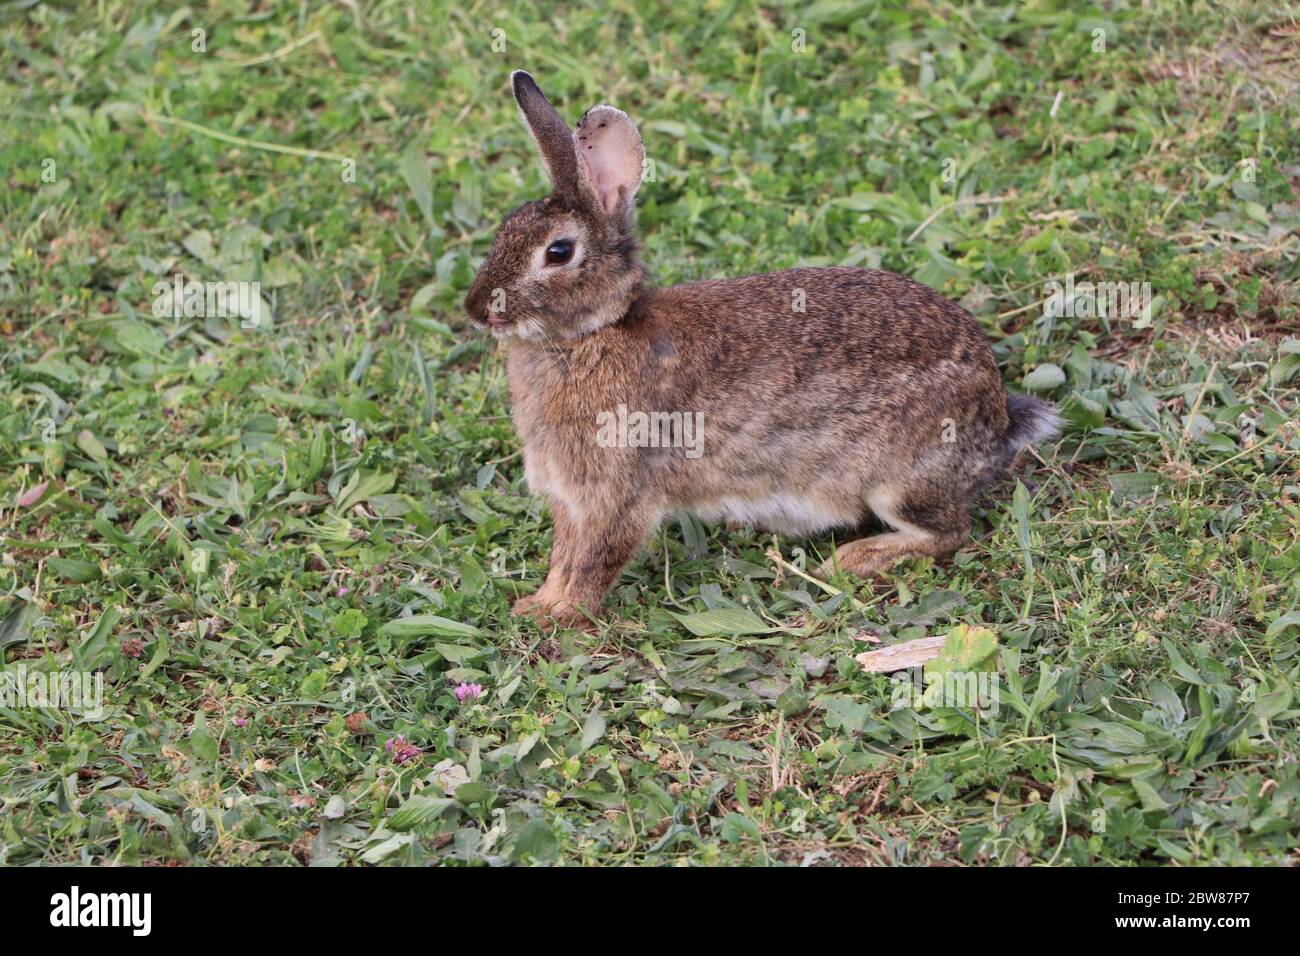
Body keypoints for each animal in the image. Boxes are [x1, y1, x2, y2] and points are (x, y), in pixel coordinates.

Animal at [462, 74, 1060, 629]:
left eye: (558, 252)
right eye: (505, 229)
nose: (475, 308)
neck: (589, 335)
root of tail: (997, 415)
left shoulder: (619, 493)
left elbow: (595, 560)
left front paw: (561, 616)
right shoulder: (571, 501)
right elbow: (565, 557)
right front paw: (536, 604)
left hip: (898, 481)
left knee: (949, 531)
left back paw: (851, 559)